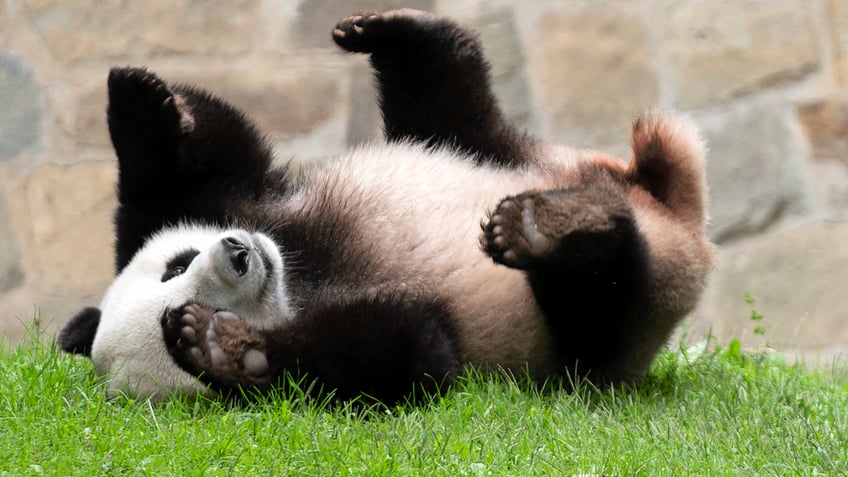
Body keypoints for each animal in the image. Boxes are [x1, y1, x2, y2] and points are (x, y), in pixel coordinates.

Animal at [56, 9, 712, 402]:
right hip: (604, 331)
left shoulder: (245, 203)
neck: (299, 274)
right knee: (601, 299)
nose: (240, 253)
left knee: (452, 104)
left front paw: (138, 100)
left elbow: (203, 166)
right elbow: (410, 354)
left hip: (509, 153)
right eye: (193, 294)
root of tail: (675, 214)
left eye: (176, 264)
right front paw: (224, 349)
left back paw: (395, 34)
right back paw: (552, 230)